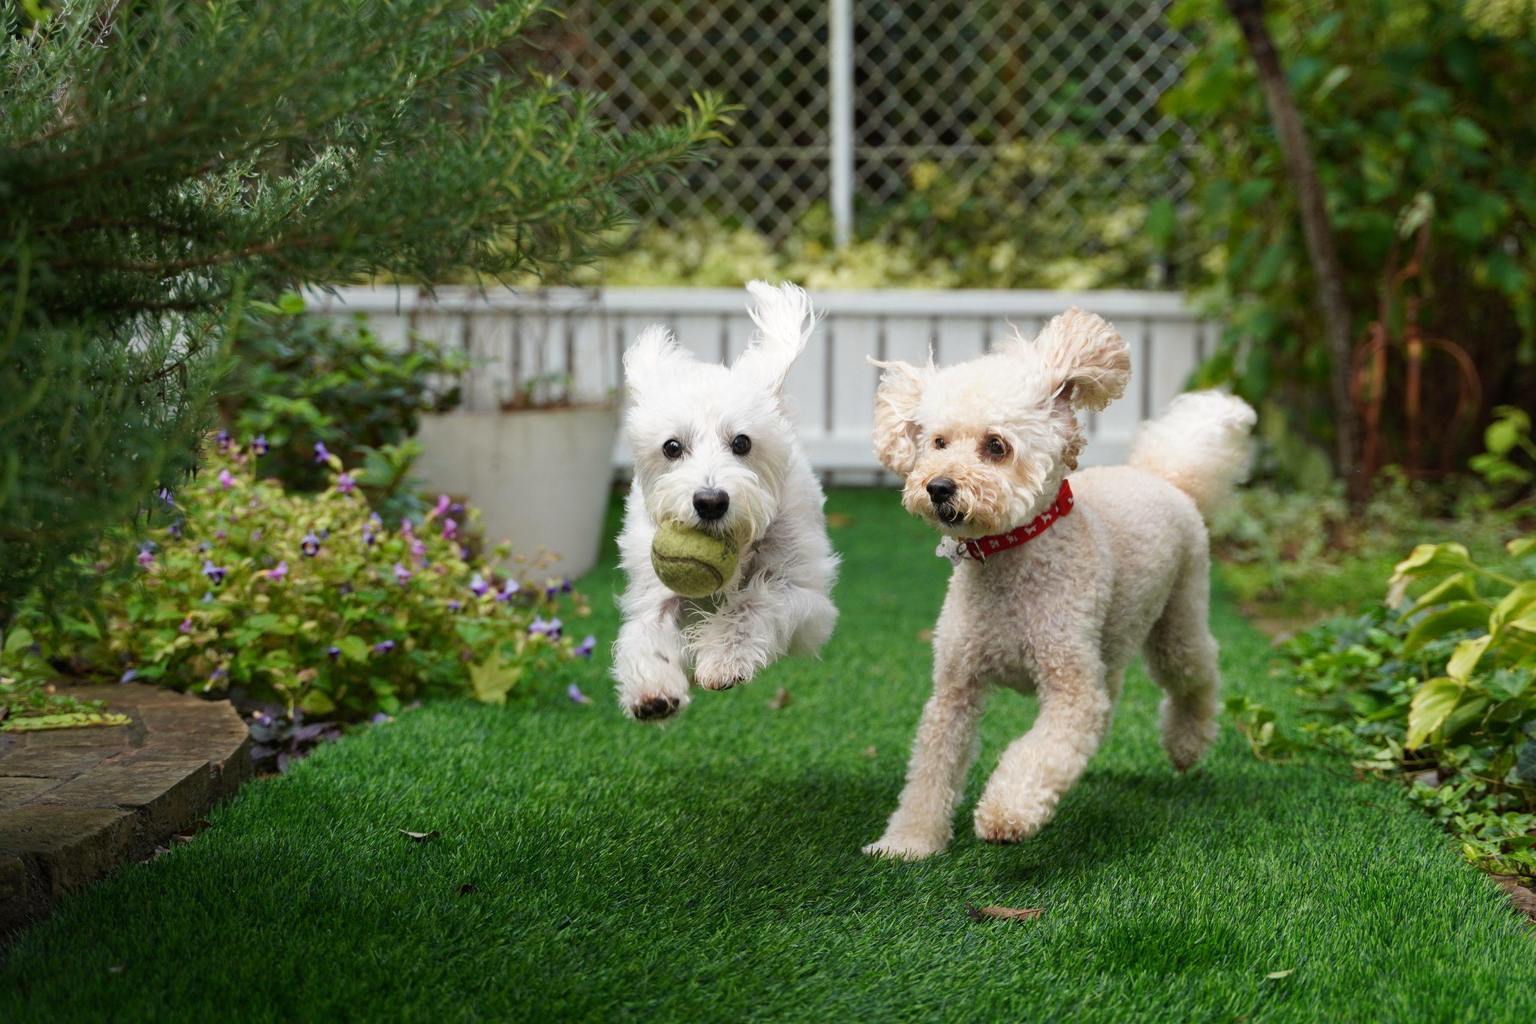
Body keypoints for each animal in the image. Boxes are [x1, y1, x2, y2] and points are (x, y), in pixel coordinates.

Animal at [611, 282, 841, 721]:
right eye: (671, 447)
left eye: (742, 442)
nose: (710, 501)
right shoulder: (653, 589)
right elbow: (647, 631)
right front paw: (653, 690)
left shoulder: (807, 597)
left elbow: (756, 602)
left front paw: (723, 658)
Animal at [860, 310, 1253, 859]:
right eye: (937, 442)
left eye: (996, 446)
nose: (937, 487)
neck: (1010, 560)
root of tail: (1166, 477)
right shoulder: (956, 687)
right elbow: (931, 769)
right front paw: (908, 842)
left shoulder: (1070, 688)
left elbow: (1039, 752)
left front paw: (1007, 813)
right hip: (1108, 643)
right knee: (1112, 698)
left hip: (1178, 618)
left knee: (1198, 673)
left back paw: (1186, 744)